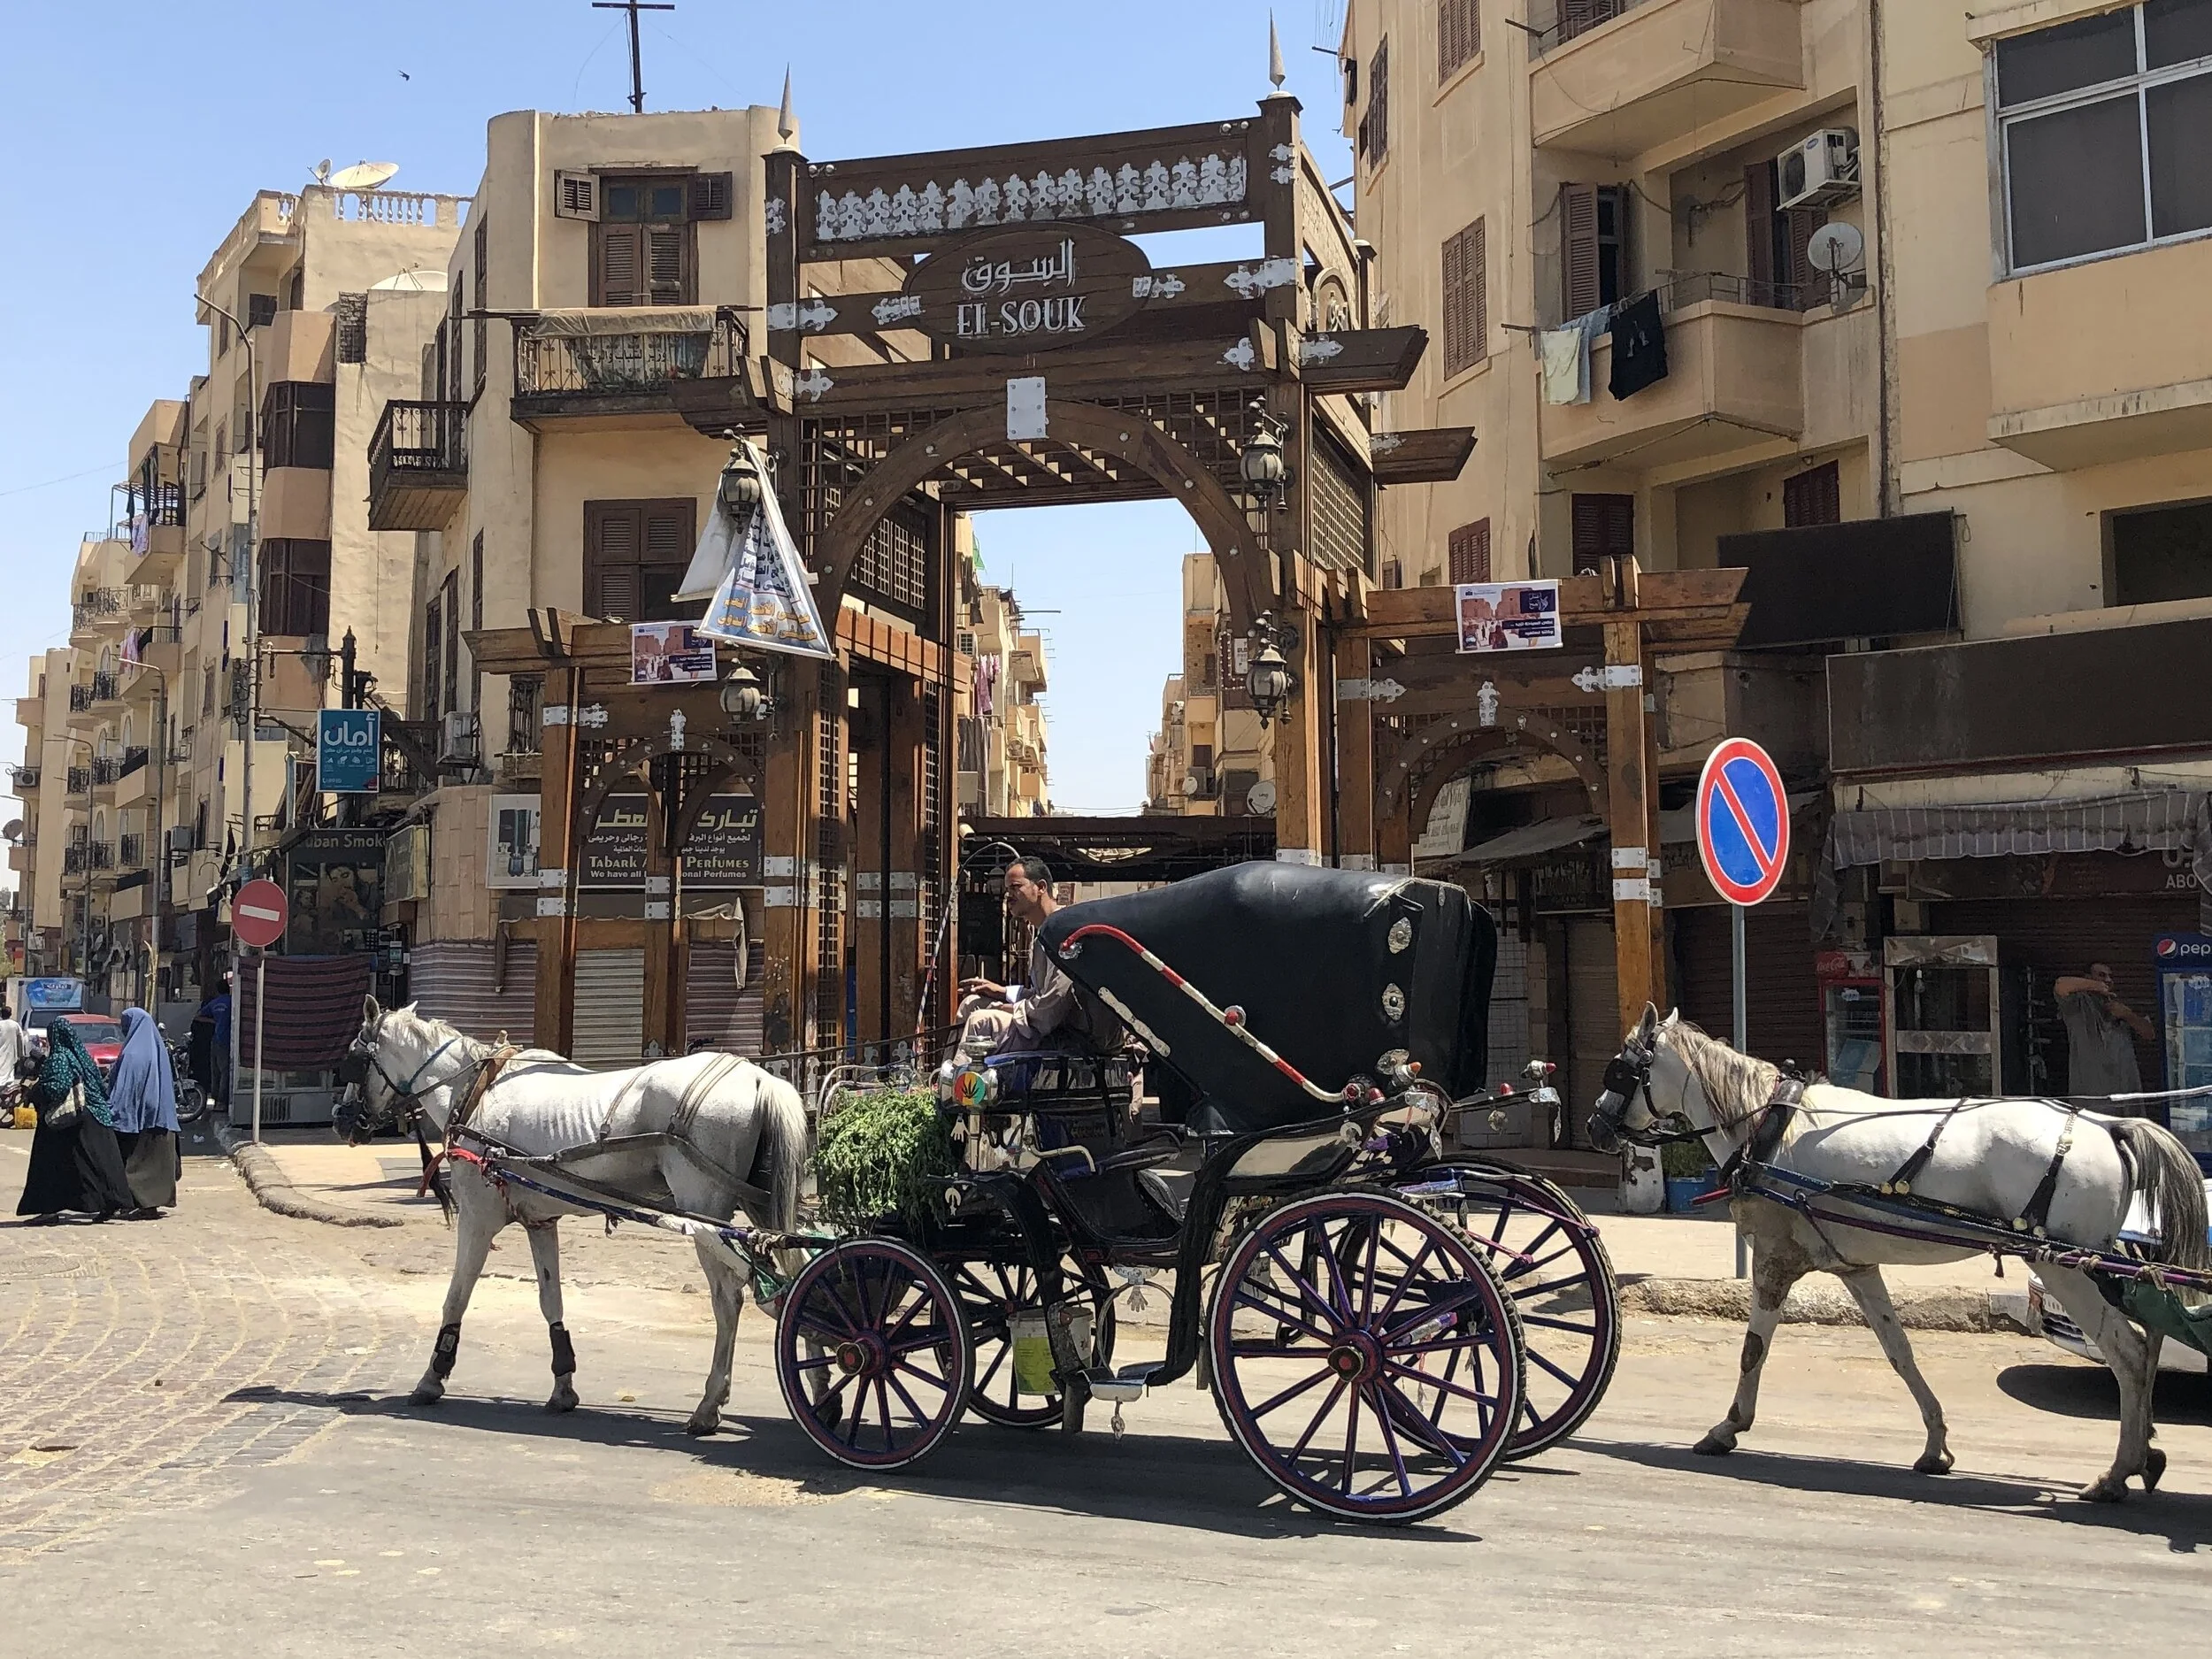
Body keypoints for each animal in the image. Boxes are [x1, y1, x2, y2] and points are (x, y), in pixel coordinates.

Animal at [337, 998, 808, 1435]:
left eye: (355, 1058)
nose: (342, 1120)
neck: (477, 1092)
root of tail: (757, 1076)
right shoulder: (540, 1222)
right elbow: (551, 1301)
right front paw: (563, 1386)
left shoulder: (477, 1219)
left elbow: (456, 1298)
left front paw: (432, 1377)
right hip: (757, 1203)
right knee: (792, 1273)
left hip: (705, 1217)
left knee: (731, 1299)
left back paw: (710, 1405)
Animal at [1587, 1006, 2209, 1502]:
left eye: (1620, 1067)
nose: (1595, 1125)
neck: (1766, 1125)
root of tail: (2108, 1125)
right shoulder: (1856, 1267)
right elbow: (1900, 1352)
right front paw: (1935, 1444)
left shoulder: (1773, 1259)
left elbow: (1751, 1351)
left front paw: (1728, 1427)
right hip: (2097, 1266)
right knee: (2147, 1345)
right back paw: (2145, 1454)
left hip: (2060, 1266)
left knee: (2127, 1351)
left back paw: (2117, 1472)